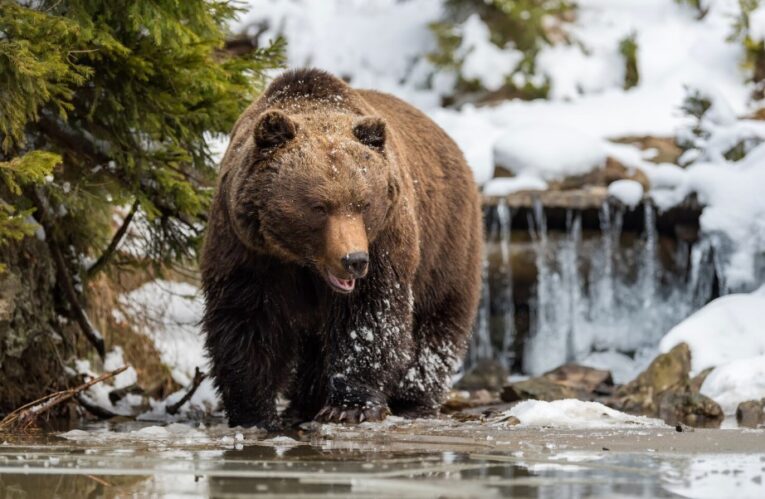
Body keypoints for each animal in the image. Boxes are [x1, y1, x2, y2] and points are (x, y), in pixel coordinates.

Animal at [201, 68, 483, 429]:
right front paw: (254, 412)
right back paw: (304, 403)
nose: (354, 260)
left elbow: (369, 317)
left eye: (364, 203)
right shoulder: (248, 248)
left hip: (447, 241)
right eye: (319, 206)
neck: (303, 261)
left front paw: (351, 406)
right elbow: (247, 319)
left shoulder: (384, 241)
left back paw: (413, 400)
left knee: (437, 321)